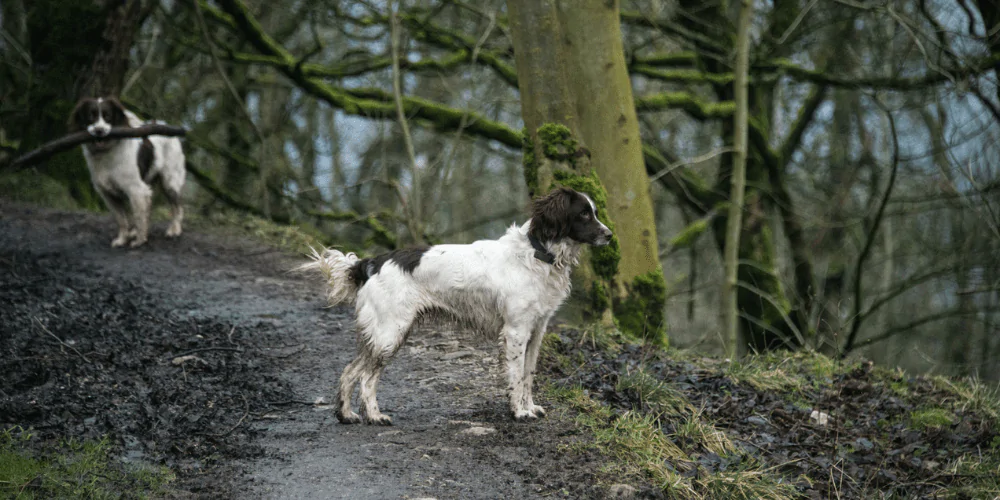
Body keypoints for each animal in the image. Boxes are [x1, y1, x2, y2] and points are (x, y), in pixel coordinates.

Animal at [70, 96, 186, 247]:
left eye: (108, 116)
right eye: (91, 116)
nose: (99, 131)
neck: (106, 154)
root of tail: (165, 125)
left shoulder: (136, 190)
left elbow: (138, 216)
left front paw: (139, 241)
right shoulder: (108, 194)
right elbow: (122, 220)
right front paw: (122, 239)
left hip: (170, 182)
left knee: (177, 207)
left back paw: (174, 230)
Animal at [298, 188, 608, 426]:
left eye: (593, 211)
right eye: (583, 213)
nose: (609, 234)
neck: (536, 254)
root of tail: (372, 262)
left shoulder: (537, 330)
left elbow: (528, 374)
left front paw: (530, 407)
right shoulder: (516, 331)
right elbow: (516, 376)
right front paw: (519, 412)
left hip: (379, 335)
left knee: (349, 371)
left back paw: (346, 414)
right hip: (390, 333)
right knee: (366, 377)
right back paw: (374, 416)